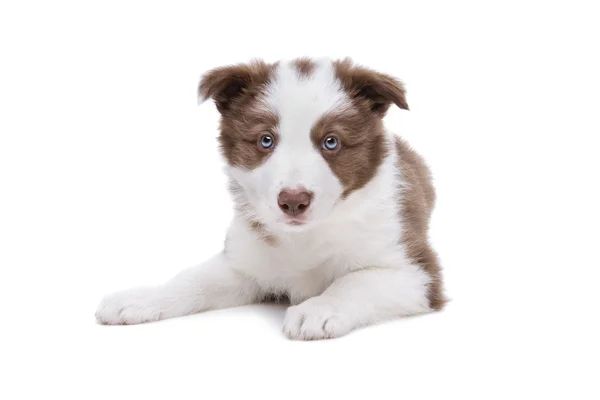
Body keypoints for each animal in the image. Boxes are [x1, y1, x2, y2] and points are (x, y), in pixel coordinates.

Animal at [95, 57, 446, 340]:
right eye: (266, 140)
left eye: (331, 142)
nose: (293, 201)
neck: (304, 237)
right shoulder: (244, 263)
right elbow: (193, 280)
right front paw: (140, 298)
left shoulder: (417, 272)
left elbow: (355, 282)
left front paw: (318, 309)